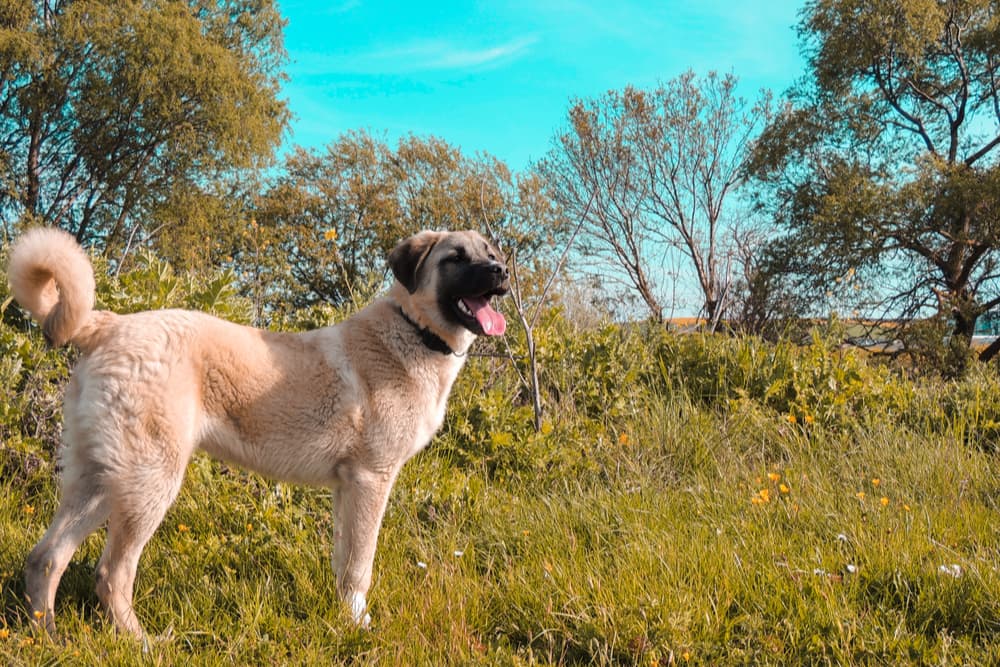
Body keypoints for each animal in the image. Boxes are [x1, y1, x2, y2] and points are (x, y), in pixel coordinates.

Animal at [5, 227, 508, 640]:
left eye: (492, 253)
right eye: (455, 258)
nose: (502, 272)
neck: (413, 329)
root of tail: (109, 323)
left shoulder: (348, 489)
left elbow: (343, 561)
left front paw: (343, 617)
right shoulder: (372, 480)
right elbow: (359, 567)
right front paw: (358, 625)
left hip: (99, 482)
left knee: (45, 558)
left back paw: (47, 636)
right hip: (149, 483)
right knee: (111, 573)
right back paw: (141, 642)